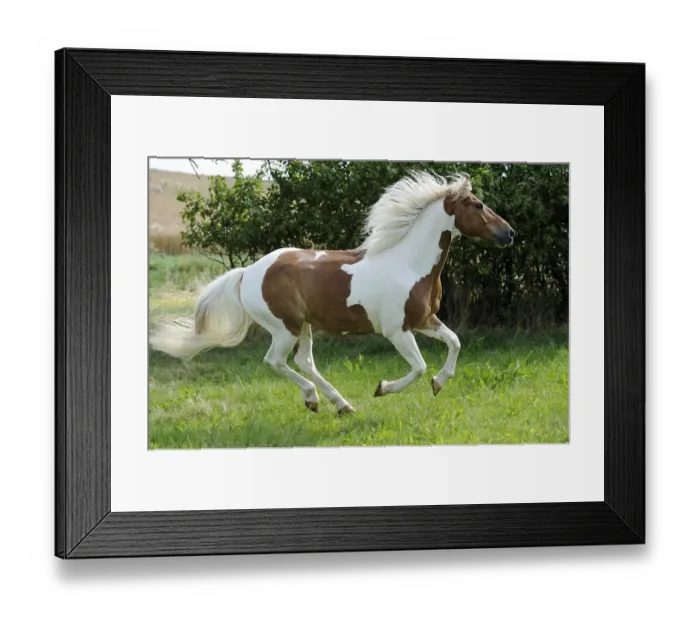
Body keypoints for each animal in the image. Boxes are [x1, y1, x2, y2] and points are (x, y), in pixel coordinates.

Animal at [149, 171, 516, 415]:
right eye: (477, 204)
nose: (510, 233)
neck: (408, 262)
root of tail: (247, 273)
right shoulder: (397, 331)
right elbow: (419, 367)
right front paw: (382, 389)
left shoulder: (426, 320)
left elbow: (455, 343)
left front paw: (439, 384)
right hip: (284, 327)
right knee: (276, 361)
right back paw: (314, 400)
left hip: (304, 326)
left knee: (304, 361)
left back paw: (342, 405)